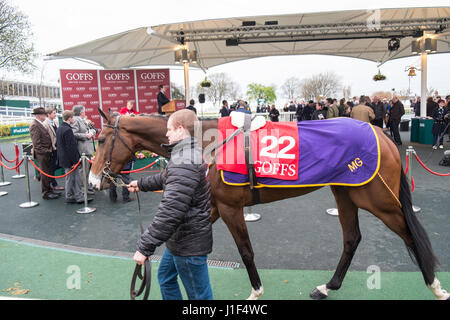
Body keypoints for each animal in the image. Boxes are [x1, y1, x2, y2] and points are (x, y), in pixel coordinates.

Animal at [89, 109, 450, 300]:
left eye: (103, 139)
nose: (93, 180)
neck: (209, 144)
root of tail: (381, 133)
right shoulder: (214, 206)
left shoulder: (231, 208)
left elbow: (246, 251)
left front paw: (256, 291)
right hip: (345, 193)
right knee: (352, 238)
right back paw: (328, 286)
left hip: (376, 199)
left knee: (409, 233)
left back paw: (435, 285)